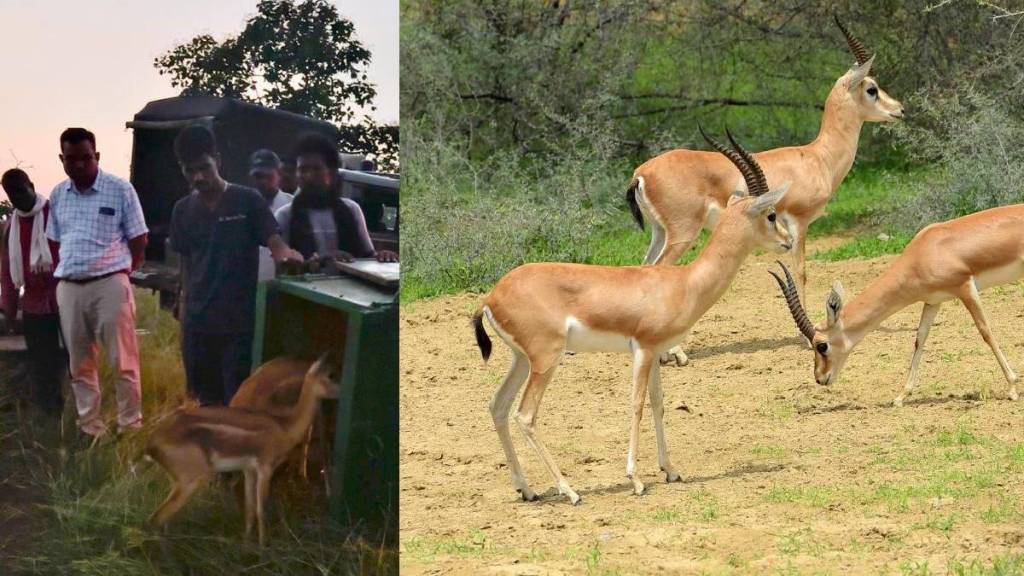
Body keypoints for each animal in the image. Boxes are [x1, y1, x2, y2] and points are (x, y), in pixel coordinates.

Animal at [145, 354, 335, 541]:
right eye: (327, 378)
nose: (338, 392)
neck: (283, 427)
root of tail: (151, 442)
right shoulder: (265, 468)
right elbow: (260, 509)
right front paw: (262, 545)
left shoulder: (248, 470)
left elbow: (250, 508)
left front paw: (246, 541)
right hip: (191, 481)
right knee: (156, 518)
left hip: (176, 481)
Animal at [471, 126, 790, 502]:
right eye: (771, 214)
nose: (787, 240)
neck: (683, 283)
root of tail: (492, 295)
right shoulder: (644, 350)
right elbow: (636, 404)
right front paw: (635, 479)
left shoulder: (655, 353)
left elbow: (658, 402)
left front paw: (670, 470)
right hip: (546, 359)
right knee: (525, 415)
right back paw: (570, 491)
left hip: (521, 359)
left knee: (498, 406)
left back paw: (527, 489)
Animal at [630, 15, 905, 364]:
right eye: (871, 89)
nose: (899, 109)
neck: (818, 157)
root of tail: (641, 173)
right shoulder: (799, 222)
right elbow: (801, 270)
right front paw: (808, 337)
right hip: (682, 234)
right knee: (662, 269)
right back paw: (675, 353)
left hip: (659, 232)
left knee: (646, 266)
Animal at [770, 202, 1024, 403]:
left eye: (821, 345)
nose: (820, 378)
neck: (925, 252)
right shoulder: (933, 301)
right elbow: (919, 339)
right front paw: (901, 396)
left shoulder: (965, 288)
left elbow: (985, 332)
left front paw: (1012, 388)